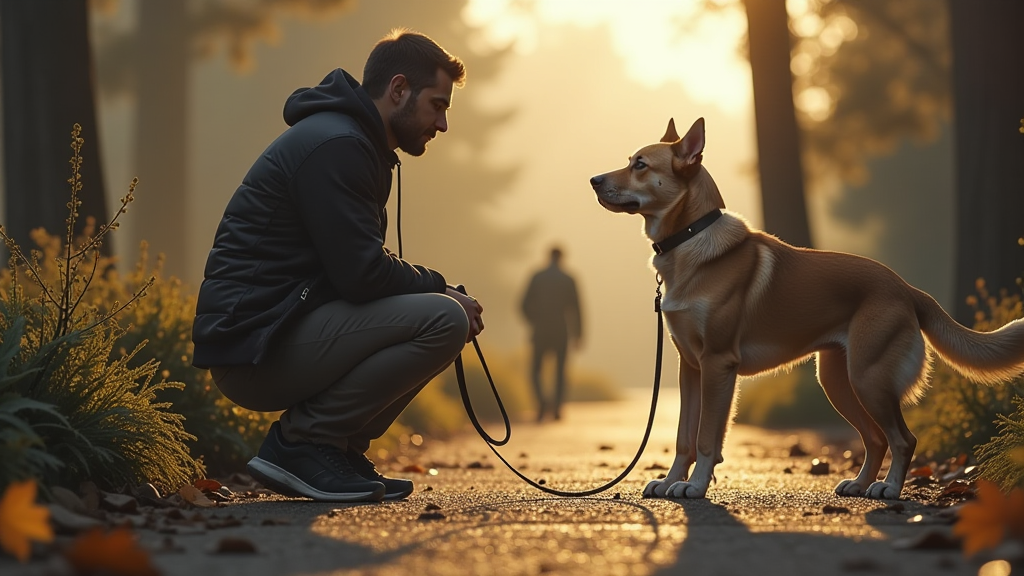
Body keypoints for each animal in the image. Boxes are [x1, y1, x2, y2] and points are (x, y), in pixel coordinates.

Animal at [589, 117, 1024, 498]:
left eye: (640, 165)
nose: (594, 180)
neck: (690, 241)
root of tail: (906, 287)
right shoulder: (690, 369)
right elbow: (683, 437)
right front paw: (670, 482)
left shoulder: (717, 364)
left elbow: (707, 438)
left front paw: (694, 487)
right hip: (837, 381)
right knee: (875, 439)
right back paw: (860, 485)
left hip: (868, 379)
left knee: (903, 439)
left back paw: (889, 489)